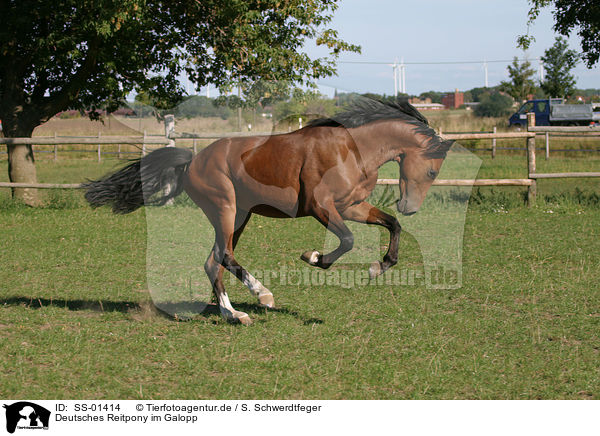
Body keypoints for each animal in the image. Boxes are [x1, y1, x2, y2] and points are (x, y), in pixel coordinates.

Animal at [83, 99, 450, 324]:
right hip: (225, 208)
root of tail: (192, 160)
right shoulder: (321, 207)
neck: (350, 150)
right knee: (224, 257)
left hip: (239, 215)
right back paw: (263, 296)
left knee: (213, 260)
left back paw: (234, 314)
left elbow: (392, 225)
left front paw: (378, 267)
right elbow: (347, 241)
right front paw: (314, 258)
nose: (410, 206)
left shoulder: (352, 206)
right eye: (433, 171)